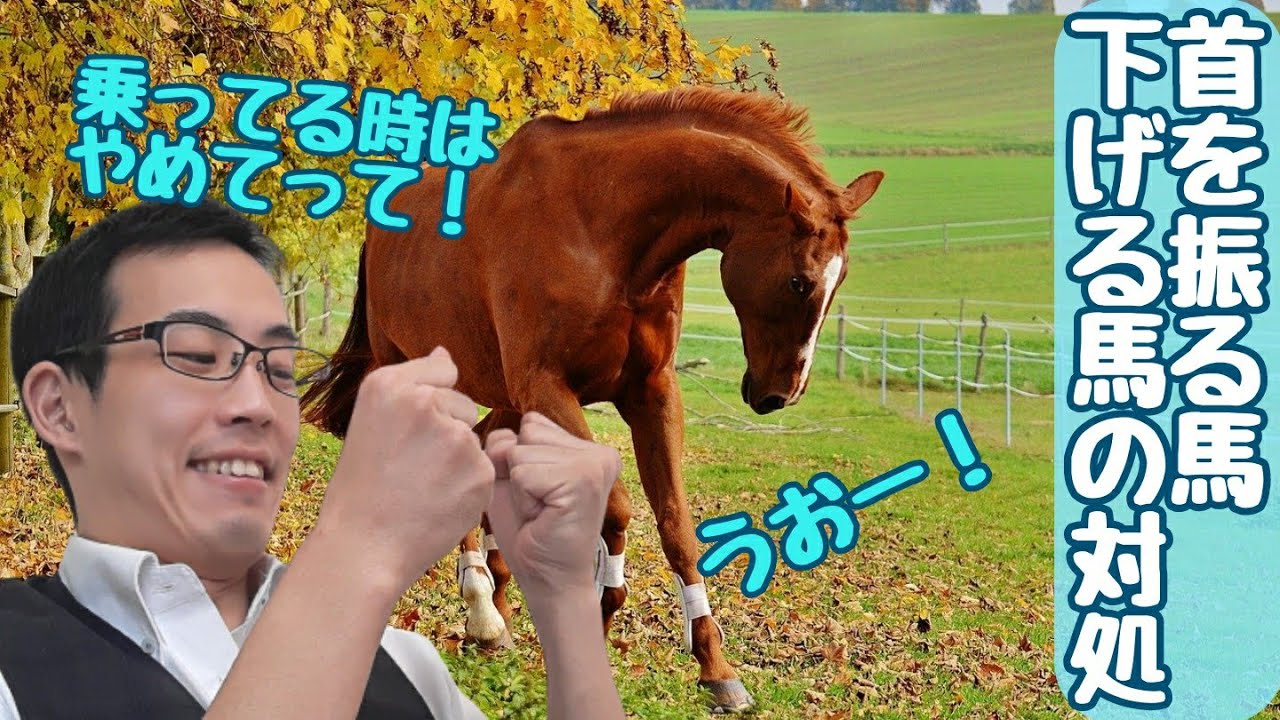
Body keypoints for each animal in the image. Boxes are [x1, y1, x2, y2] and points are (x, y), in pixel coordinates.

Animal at [301, 85, 883, 713]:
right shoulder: (547, 387)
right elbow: (616, 506)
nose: (779, 394)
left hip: (506, 398)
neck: (604, 227)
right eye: (801, 281)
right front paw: (597, 616)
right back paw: (480, 606)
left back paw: (494, 610)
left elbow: (677, 525)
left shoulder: (650, 393)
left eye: (839, 280)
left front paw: (715, 667)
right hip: (419, 374)